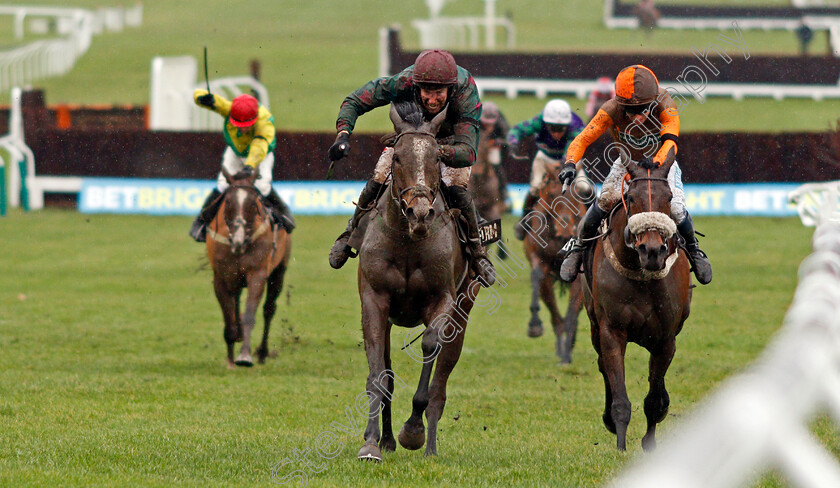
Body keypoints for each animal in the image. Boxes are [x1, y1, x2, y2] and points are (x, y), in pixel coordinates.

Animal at [204, 170, 292, 368]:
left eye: (253, 203)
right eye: (228, 202)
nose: (238, 239)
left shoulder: (257, 273)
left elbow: (250, 315)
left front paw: (244, 356)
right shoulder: (221, 277)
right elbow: (228, 316)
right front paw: (230, 359)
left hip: (279, 271)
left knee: (268, 309)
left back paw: (262, 353)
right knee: (236, 301)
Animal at [354, 102, 482, 462]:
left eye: (437, 158)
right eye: (397, 157)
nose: (419, 213)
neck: (409, 242)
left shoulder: (443, 299)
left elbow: (429, 346)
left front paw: (413, 431)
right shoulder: (374, 299)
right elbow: (379, 372)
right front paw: (371, 443)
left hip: (464, 312)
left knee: (441, 379)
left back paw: (431, 447)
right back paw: (386, 439)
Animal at [520, 166, 588, 364]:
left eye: (575, 195)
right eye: (551, 195)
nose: (565, 231)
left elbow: (572, 313)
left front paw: (567, 355)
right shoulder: (538, 257)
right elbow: (537, 276)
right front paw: (534, 325)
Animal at [580, 159, 692, 450]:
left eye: (669, 197)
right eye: (631, 198)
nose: (652, 251)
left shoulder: (666, 337)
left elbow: (655, 399)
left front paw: (650, 442)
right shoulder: (611, 330)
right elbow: (620, 397)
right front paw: (620, 445)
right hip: (594, 323)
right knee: (602, 365)